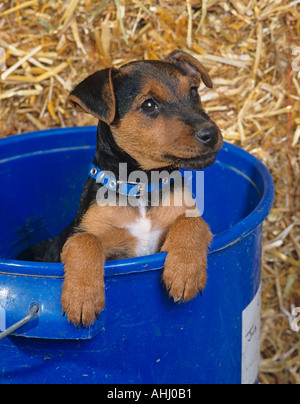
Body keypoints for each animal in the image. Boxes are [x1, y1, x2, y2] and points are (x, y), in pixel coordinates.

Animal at [34, 50, 223, 328]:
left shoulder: (182, 215)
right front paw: (82, 299)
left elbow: (193, 222)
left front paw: (185, 271)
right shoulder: (82, 233)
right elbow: (85, 240)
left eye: (193, 92)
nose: (211, 134)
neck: (143, 186)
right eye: (149, 105)